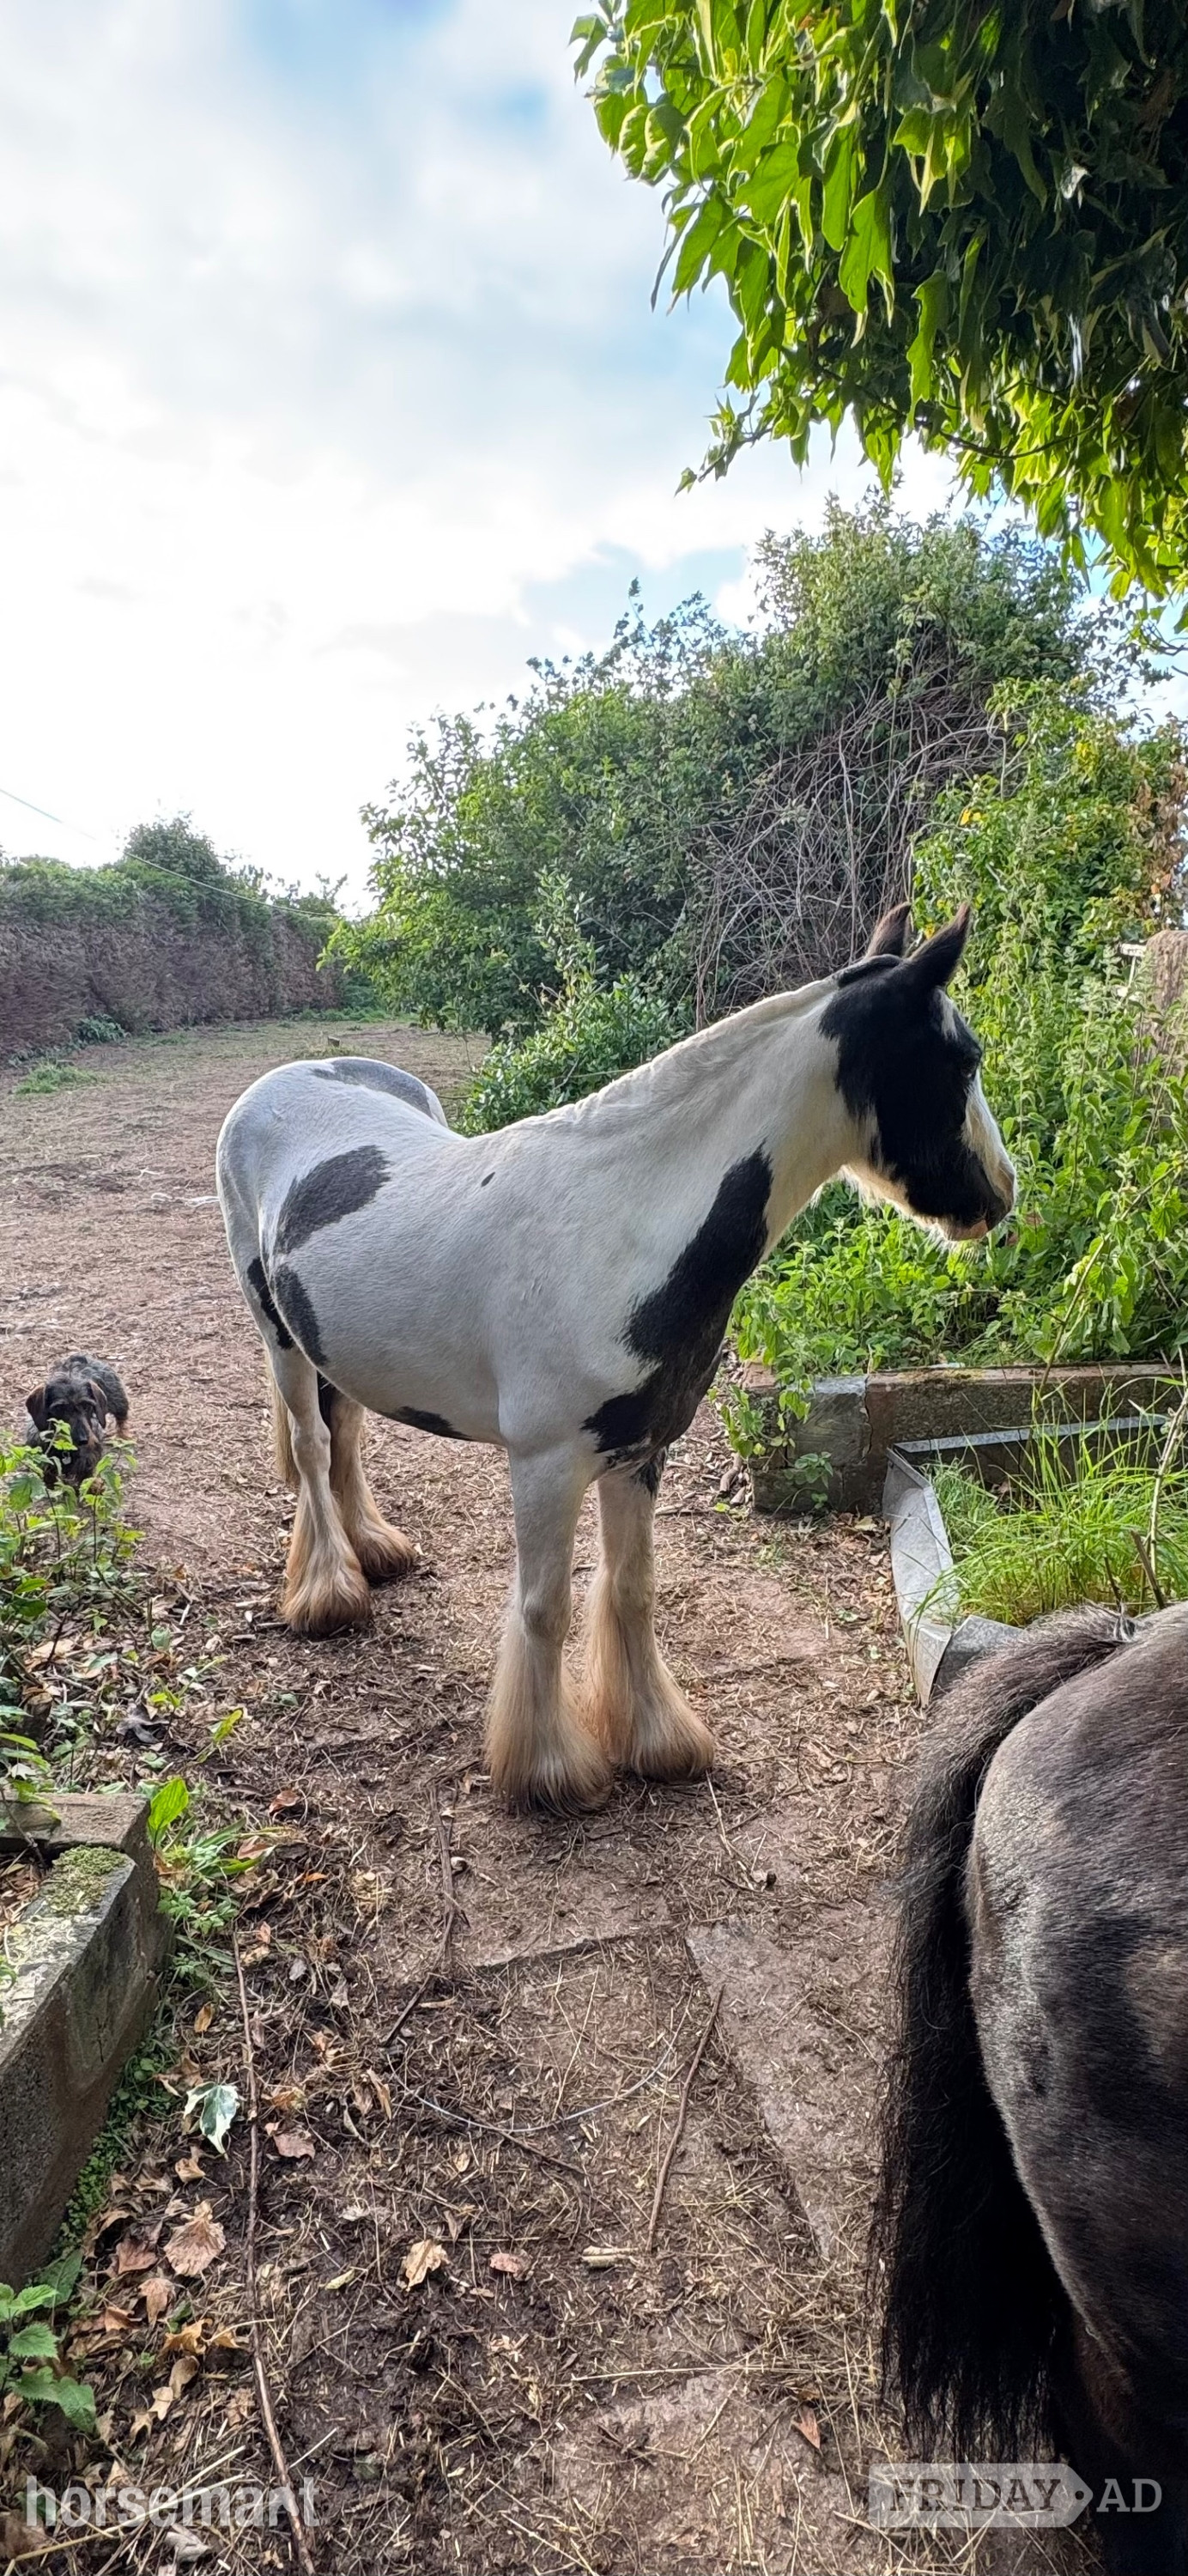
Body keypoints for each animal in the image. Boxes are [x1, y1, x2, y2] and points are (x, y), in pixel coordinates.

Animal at [215, 900, 1013, 1814]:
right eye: (960, 1060)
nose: (1002, 1193)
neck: (618, 1230)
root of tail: (284, 1082)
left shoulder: (641, 1449)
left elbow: (632, 1591)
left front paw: (656, 1742)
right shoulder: (545, 1463)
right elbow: (543, 1607)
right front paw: (548, 1769)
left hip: (335, 1347)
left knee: (346, 1433)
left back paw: (373, 1552)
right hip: (277, 1333)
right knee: (313, 1446)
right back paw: (329, 1594)